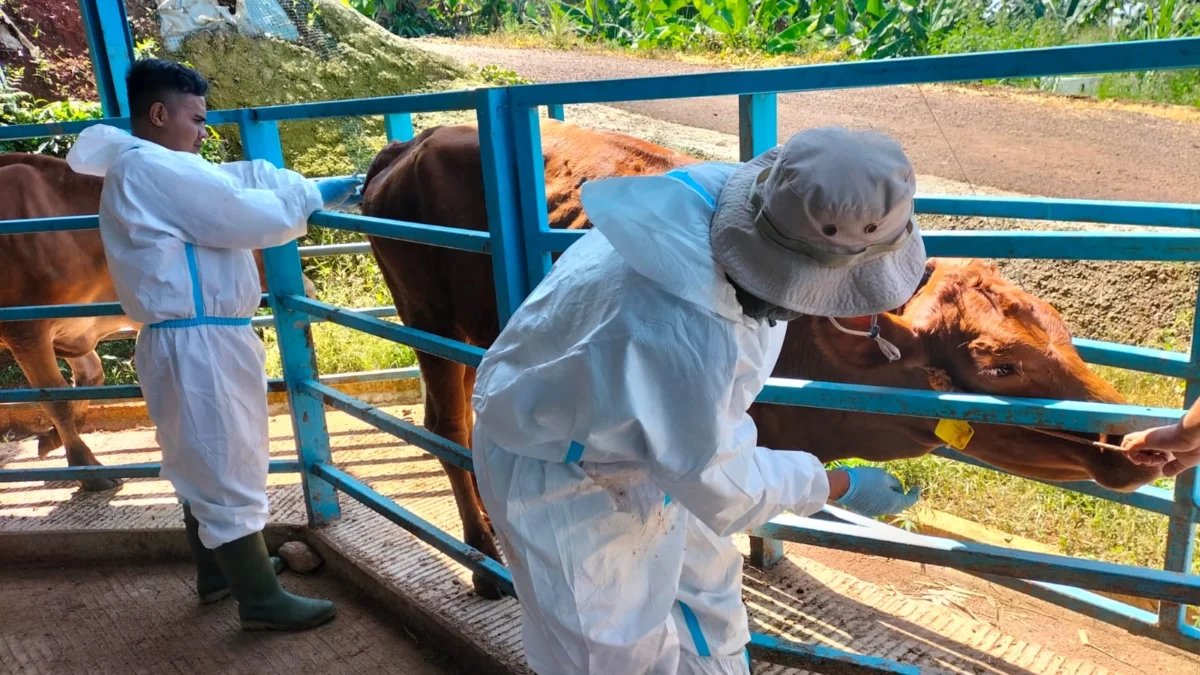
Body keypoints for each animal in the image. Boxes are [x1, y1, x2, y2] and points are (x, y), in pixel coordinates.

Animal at [0, 152, 316, 487]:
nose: (308, 288)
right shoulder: (25, 330)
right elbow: (56, 397)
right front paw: (86, 467)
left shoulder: (75, 328)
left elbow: (89, 381)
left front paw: (50, 440)